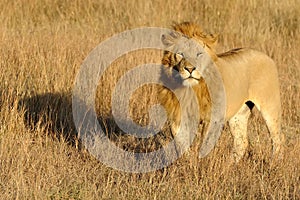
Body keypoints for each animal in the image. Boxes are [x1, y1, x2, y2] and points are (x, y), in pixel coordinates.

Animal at [158, 21, 284, 162]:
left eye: (199, 54)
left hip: (270, 106)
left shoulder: (212, 118)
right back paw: (231, 163)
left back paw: (274, 163)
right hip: (239, 114)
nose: (190, 69)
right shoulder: (177, 117)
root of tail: (266, 56)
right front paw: (187, 162)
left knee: (278, 138)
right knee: (241, 142)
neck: (190, 89)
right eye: (181, 54)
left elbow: (204, 144)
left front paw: (201, 163)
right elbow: (181, 144)